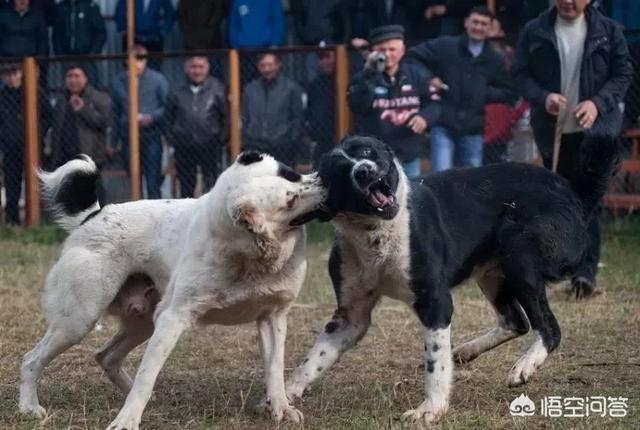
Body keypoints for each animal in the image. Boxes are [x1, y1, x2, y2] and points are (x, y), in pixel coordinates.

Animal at [17, 151, 328, 426]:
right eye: (290, 200)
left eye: (291, 173)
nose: (326, 182)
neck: (246, 256)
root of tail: (92, 216)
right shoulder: (172, 319)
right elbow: (146, 375)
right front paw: (127, 420)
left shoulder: (272, 317)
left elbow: (275, 370)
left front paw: (281, 409)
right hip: (78, 321)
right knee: (31, 360)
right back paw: (29, 407)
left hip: (142, 322)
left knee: (106, 356)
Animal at [284, 137, 616, 424]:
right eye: (340, 170)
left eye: (367, 151)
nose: (363, 170)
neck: (377, 233)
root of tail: (573, 191)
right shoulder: (351, 316)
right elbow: (314, 359)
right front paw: (284, 396)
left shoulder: (435, 302)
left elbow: (435, 361)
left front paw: (430, 409)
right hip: (492, 273)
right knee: (516, 321)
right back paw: (467, 351)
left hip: (520, 256)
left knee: (549, 328)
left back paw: (523, 366)